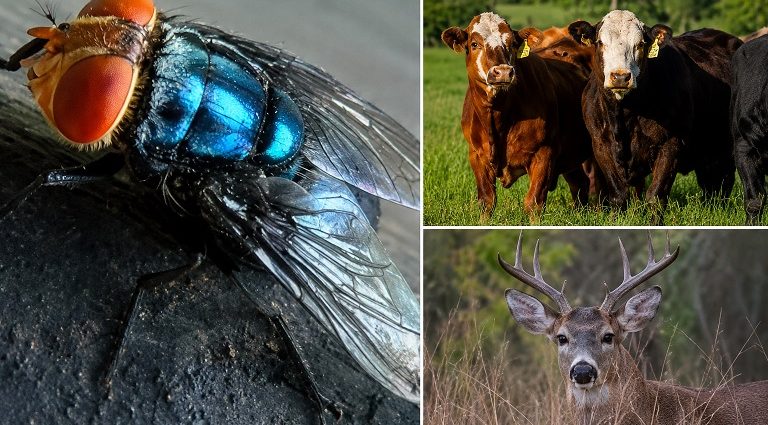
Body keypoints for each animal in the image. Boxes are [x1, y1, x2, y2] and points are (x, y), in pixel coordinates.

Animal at [441, 13, 594, 219]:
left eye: (512, 43)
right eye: (474, 44)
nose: (503, 72)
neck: (498, 118)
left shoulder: (544, 153)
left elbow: (534, 203)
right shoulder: (476, 155)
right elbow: (486, 201)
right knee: (579, 184)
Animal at [568, 10, 742, 222]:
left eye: (640, 43)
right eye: (600, 42)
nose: (620, 77)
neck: (624, 115)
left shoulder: (671, 144)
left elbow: (656, 195)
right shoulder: (600, 145)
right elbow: (618, 195)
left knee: (723, 184)